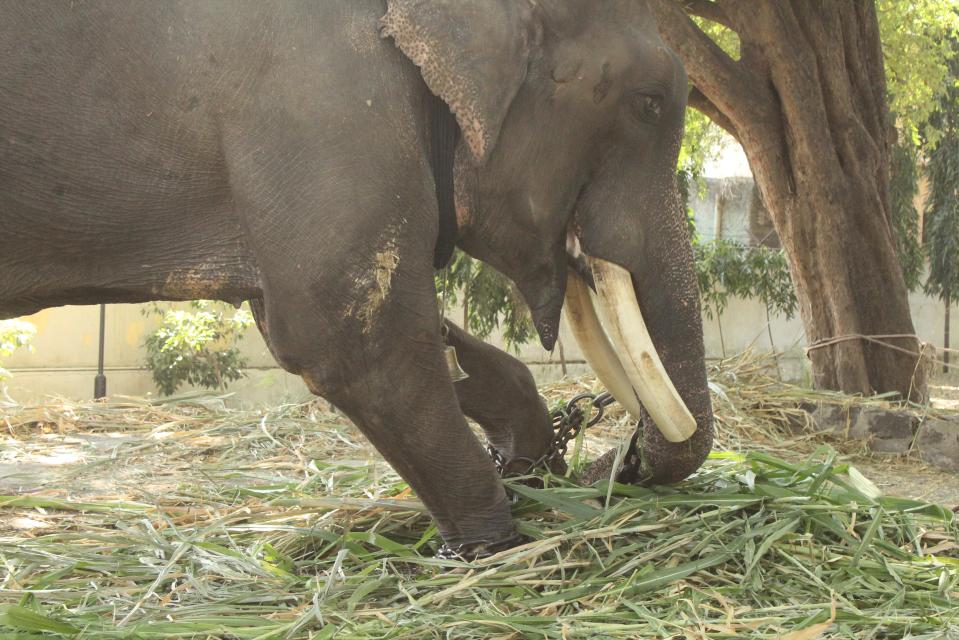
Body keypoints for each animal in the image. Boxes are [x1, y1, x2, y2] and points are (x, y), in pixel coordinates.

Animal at [0, 0, 712, 556]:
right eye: (650, 103)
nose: (617, 464)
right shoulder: (323, 104)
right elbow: (353, 340)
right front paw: (494, 547)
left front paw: (513, 442)